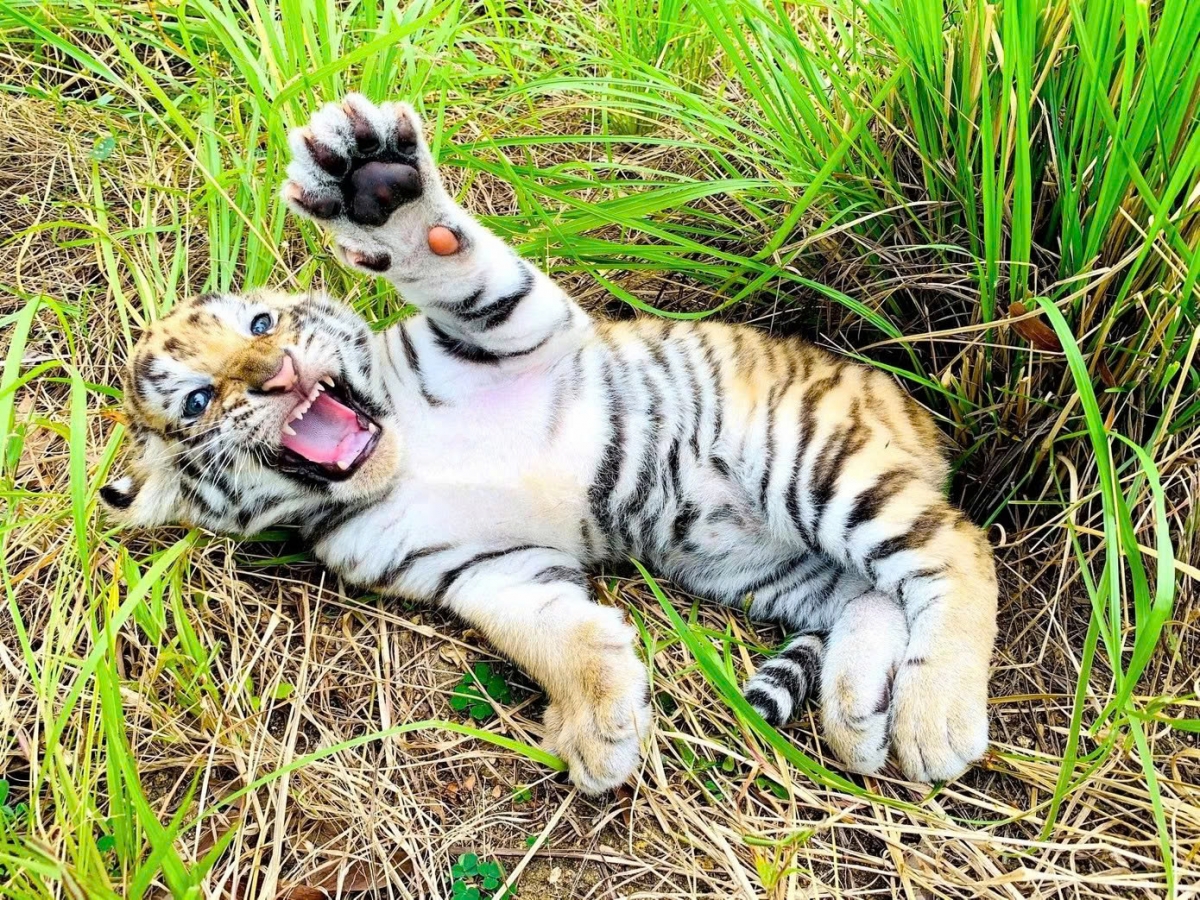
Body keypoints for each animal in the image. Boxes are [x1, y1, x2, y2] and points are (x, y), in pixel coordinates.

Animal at [101, 94, 998, 795]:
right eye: (197, 400)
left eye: (262, 323)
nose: (275, 373)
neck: (401, 455)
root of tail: (914, 414)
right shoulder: (481, 568)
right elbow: (548, 633)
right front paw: (599, 724)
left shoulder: (513, 328)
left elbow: (450, 260)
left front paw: (368, 178)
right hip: (762, 564)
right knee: (876, 594)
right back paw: (858, 718)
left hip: (811, 461)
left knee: (958, 546)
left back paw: (934, 722)